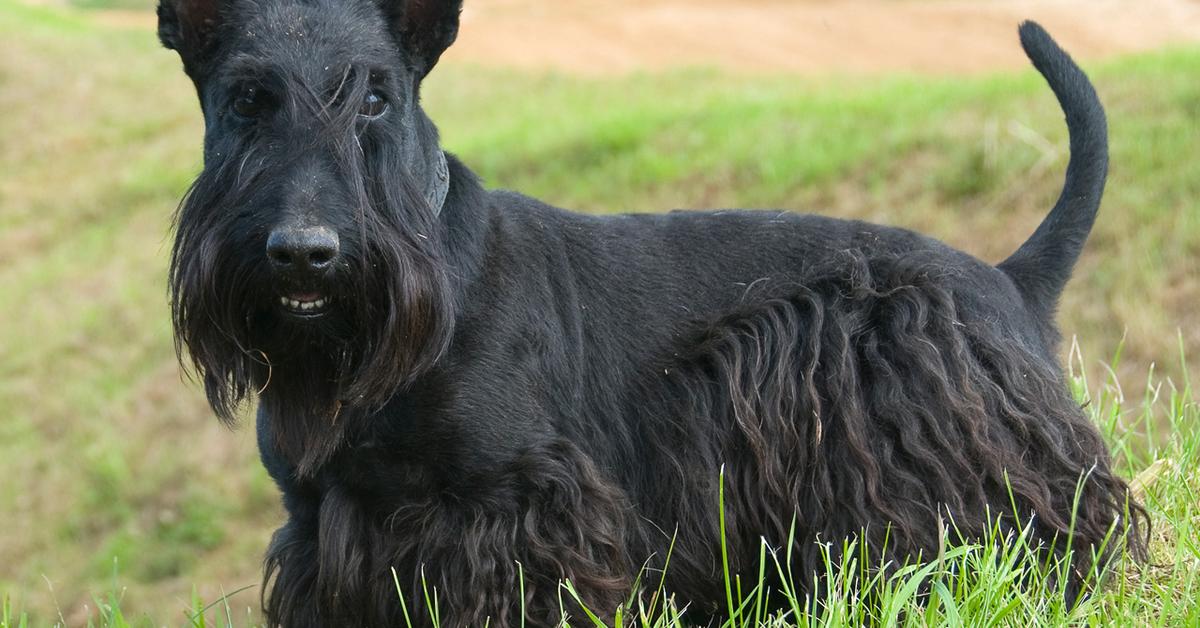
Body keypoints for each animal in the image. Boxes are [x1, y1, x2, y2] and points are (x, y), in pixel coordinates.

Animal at [157, 1, 1142, 624]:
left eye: (373, 96)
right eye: (246, 100)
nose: (305, 251)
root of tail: (1007, 279)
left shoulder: (520, 508)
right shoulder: (320, 528)